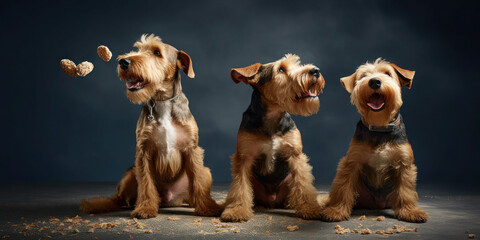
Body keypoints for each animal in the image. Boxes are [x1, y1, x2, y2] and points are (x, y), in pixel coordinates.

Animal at [79, 34, 222, 219]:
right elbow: (146, 184)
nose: (124, 62)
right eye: (138, 49)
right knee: (120, 198)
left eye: (157, 52)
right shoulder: (144, 151)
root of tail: (170, 199)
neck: (163, 102)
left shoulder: (192, 149)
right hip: (130, 174)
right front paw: (145, 208)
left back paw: (192, 202)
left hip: (206, 171)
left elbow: (197, 181)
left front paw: (207, 207)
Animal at [221, 54, 326, 221]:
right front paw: (236, 210)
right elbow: (240, 187)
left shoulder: (295, 155)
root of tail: (272, 201)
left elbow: (303, 184)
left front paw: (309, 208)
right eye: (281, 69)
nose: (315, 71)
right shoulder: (244, 157)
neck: (273, 116)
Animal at [318, 58, 428, 223]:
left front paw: (410, 212)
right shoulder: (351, 162)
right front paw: (336, 211)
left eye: (387, 73)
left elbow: (406, 191)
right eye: (363, 75)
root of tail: (377, 204)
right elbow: (344, 188)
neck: (380, 128)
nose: (374, 82)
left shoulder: (404, 164)